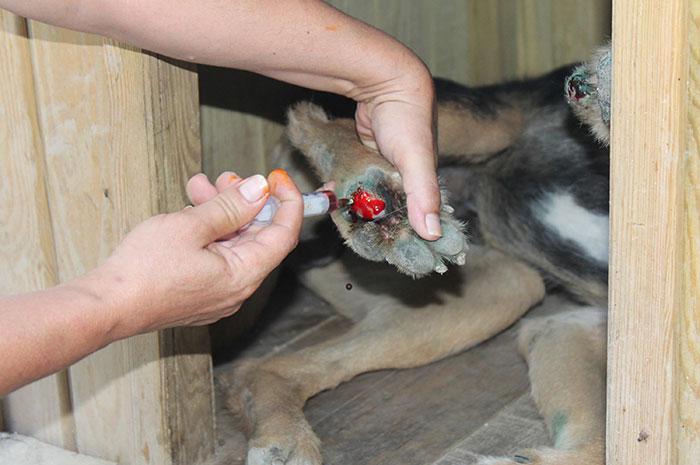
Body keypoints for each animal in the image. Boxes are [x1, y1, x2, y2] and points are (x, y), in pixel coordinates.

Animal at [221, 44, 608, 464]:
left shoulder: (567, 326)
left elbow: (598, 444)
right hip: (491, 120)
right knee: (319, 124)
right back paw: (382, 201)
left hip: (503, 285)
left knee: (261, 370)